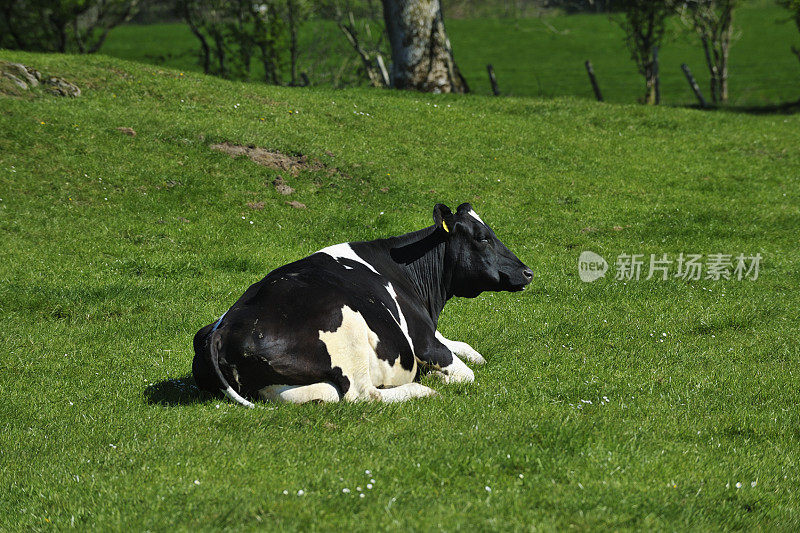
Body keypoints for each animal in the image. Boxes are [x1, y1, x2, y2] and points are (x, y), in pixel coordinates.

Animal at [191, 202, 536, 406]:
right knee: (363, 395)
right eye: (482, 237)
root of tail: (224, 327)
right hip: (349, 329)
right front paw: (436, 377)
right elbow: (466, 372)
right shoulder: (423, 341)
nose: (527, 272)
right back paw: (423, 389)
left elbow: (470, 351)